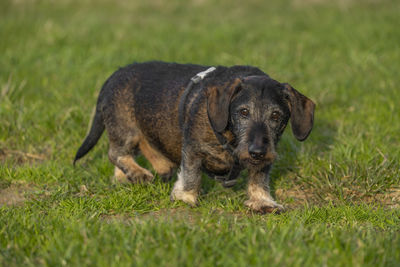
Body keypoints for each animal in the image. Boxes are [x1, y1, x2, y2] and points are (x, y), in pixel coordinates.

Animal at [73, 61, 314, 215]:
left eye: (276, 116)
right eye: (244, 112)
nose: (256, 152)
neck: (230, 139)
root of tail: (114, 75)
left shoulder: (265, 158)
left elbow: (259, 179)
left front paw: (263, 202)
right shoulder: (192, 148)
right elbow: (191, 174)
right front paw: (185, 198)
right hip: (125, 129)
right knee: (116, 153)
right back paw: (138, 173)